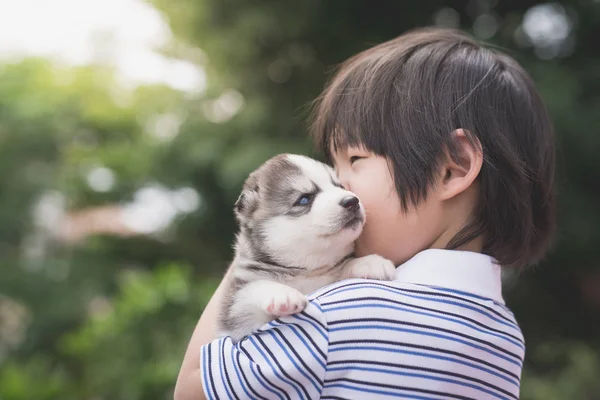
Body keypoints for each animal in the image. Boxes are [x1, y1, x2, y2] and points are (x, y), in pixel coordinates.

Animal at [218, 153, 396, 340]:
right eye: (304, 199)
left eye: (339, 186)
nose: (352, 201)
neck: (307, 272)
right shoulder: (236, 315)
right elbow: (252, 288)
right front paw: (283, 294)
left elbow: (344, 265)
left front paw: (369, 262)